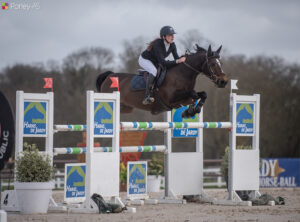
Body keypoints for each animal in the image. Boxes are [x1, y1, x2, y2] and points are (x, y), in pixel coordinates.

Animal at [96, 44, 227, 119]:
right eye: (213, 64)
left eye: (220, 63)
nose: (223, 82)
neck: (182, 74)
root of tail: (110, 75)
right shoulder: (171, 98)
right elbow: (193, 94)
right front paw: (190, 111)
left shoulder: (182, 99)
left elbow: (202, 94)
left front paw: (192, 111)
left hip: (126, 108)